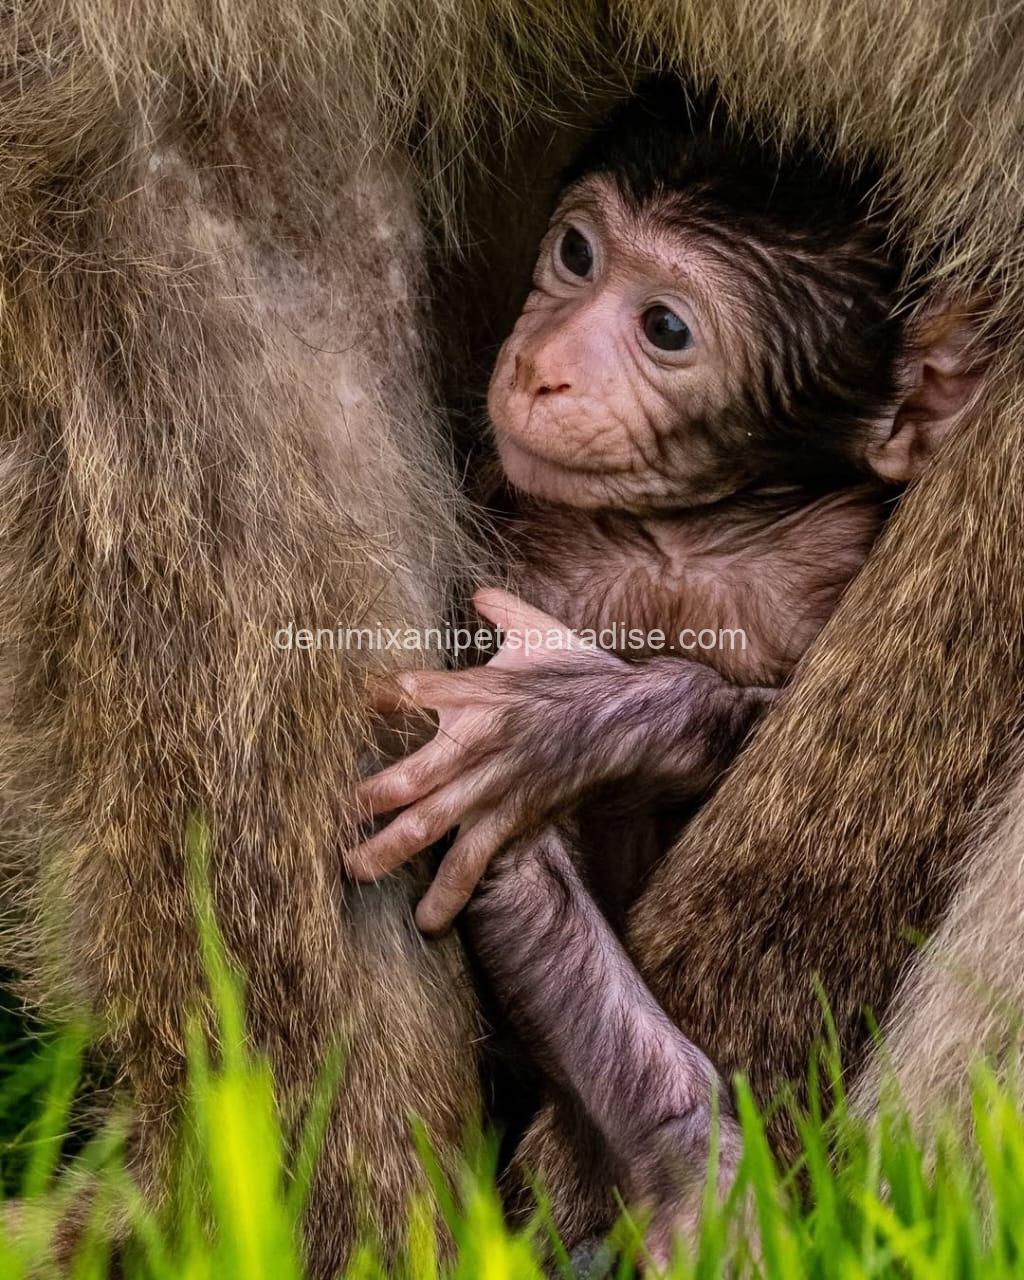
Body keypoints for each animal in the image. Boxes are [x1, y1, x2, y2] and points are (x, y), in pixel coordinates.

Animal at [347, 87, 986, 1257]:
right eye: (575, 254)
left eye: (666, 329)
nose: (540, 364)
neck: (678, 535)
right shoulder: (507, 556)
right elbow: (505, 859)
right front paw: (691, 1164)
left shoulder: (832, 559)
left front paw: (574, 723)